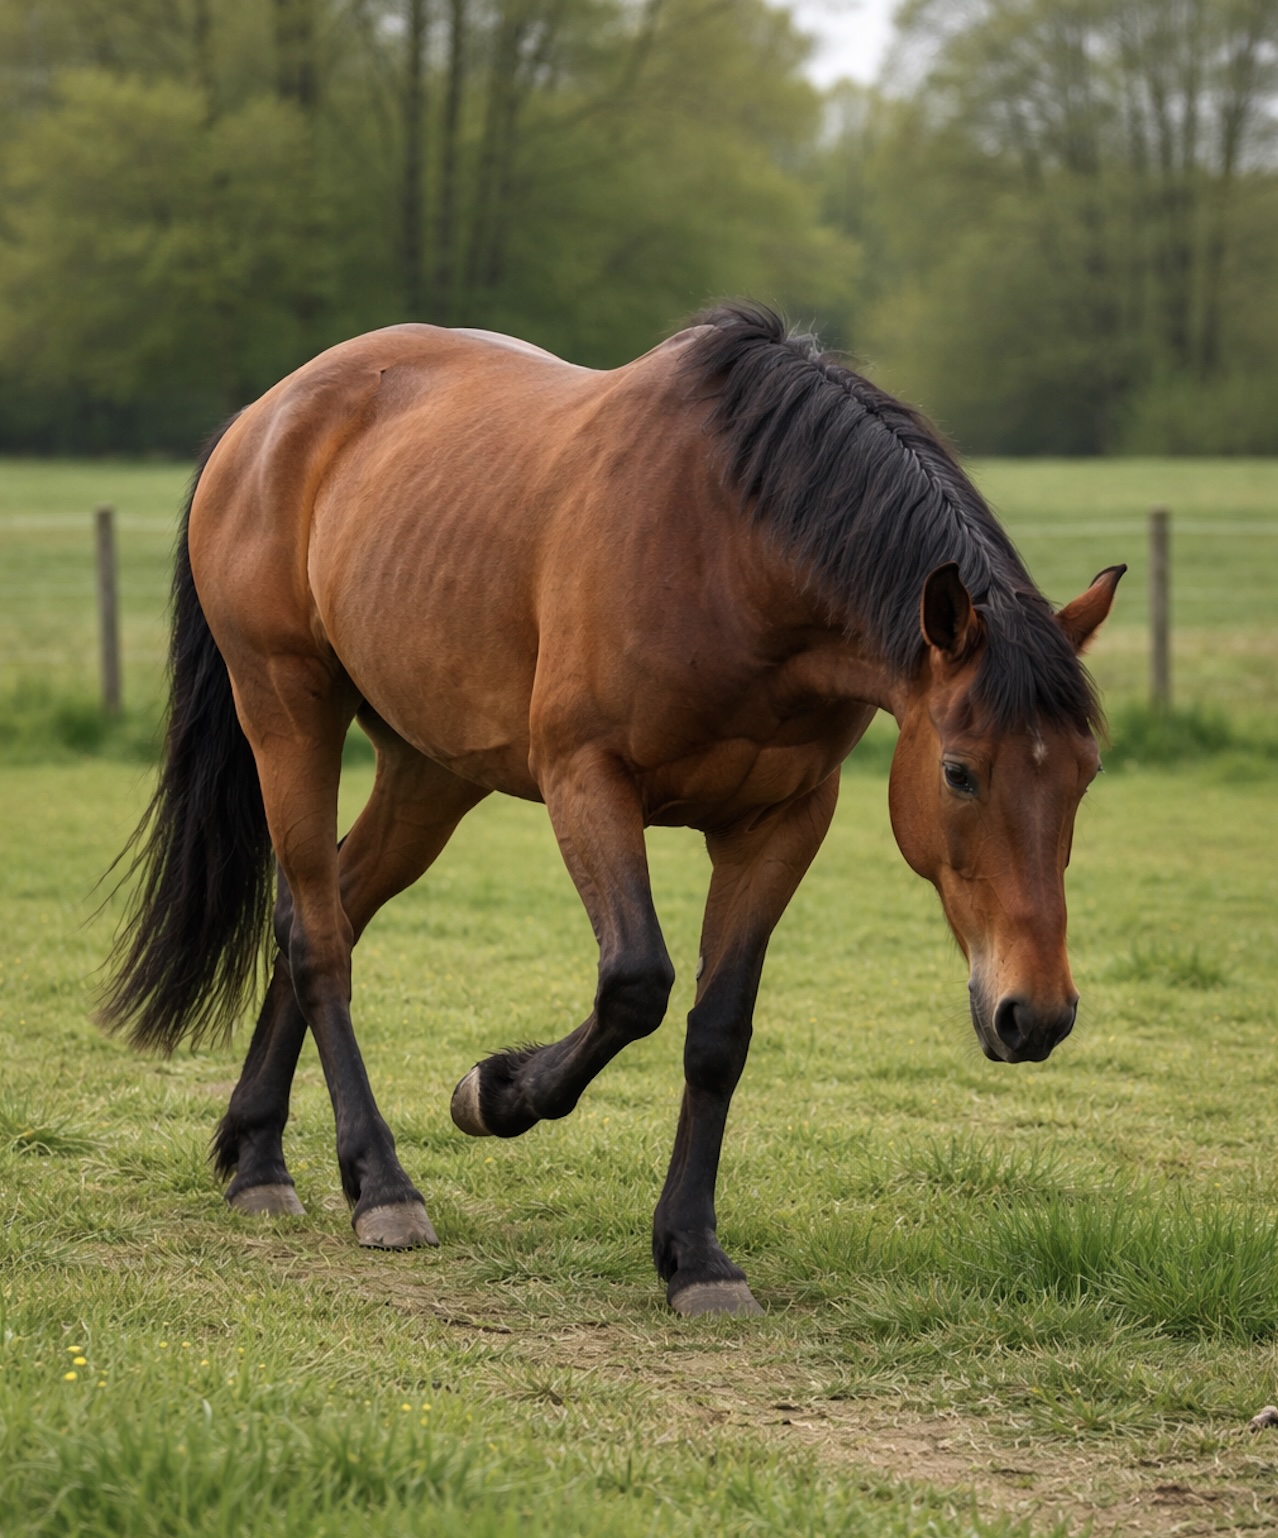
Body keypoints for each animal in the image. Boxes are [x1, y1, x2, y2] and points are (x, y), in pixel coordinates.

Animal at [100, 302, 1123, 1317]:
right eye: (959, 772)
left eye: (1086, 774)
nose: (1035, 1014)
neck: (735, 549)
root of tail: (265, 416)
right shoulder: (586, 779)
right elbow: (636, 984)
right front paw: (493, 1091)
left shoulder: (782, 821)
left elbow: (718, 1032)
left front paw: (697, 1256)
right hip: (288, 712)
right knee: (319, 936)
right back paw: (381, 1186)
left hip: (431, 772)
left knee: (322, 912)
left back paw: (258, 1158)